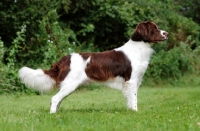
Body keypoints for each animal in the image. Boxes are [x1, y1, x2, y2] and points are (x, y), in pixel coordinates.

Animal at [18, 21, 169, 113]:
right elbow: (134, 99)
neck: (139, 48)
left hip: (68, 86)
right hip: (70, 84)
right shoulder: (131, 81)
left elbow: (130, 99)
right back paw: (53, 115)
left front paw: (130, 111)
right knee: (54, 98)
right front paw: (135, 112)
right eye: (155, 28)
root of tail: (65, 58)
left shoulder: (134, 81)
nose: (167, 33)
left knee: (58, 99)